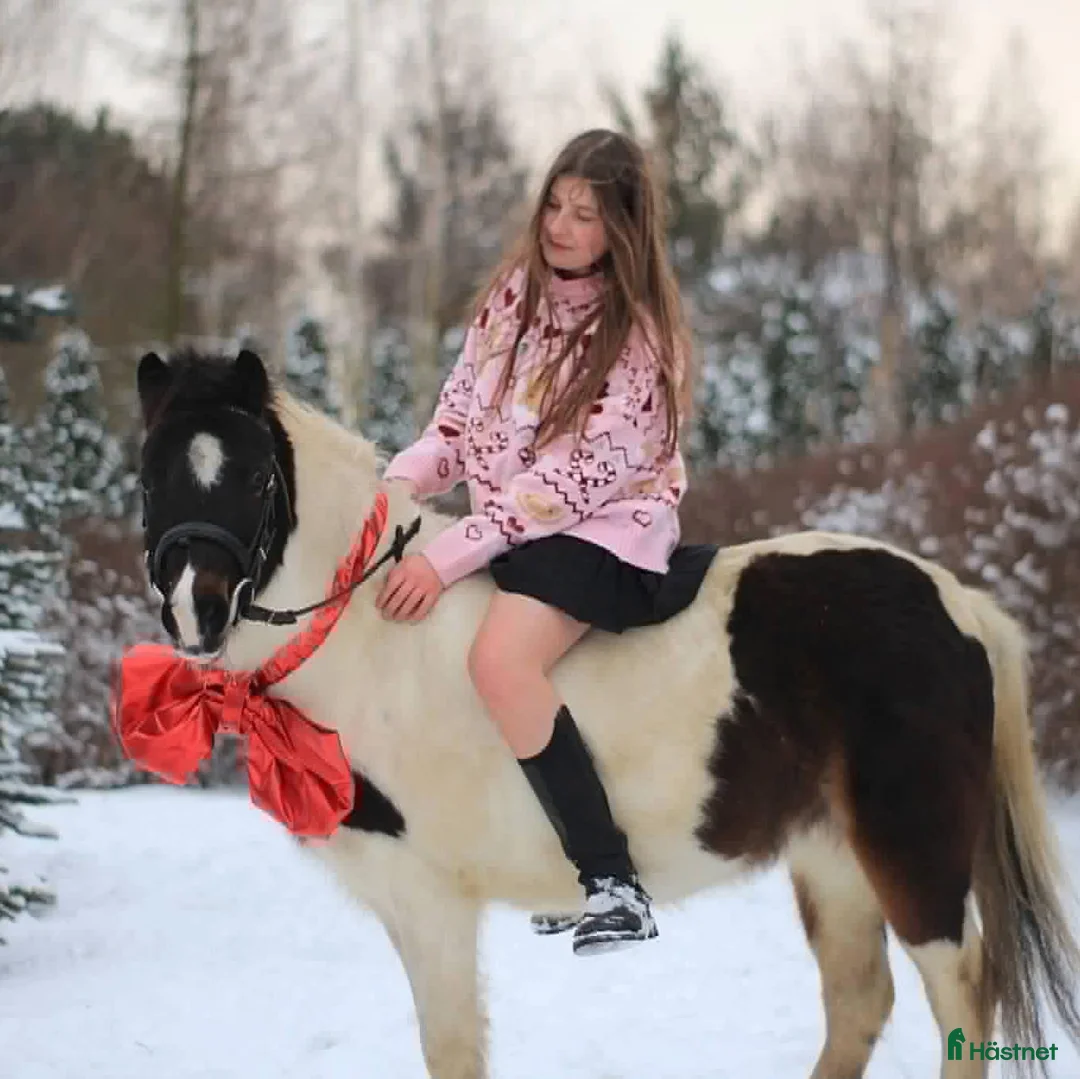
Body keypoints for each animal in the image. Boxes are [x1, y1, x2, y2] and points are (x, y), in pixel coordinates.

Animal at [130, 345, 1080, 1079]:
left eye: (256, 475)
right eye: (147, 476)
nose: (196, 609)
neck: (372, 636)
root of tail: (957, 602)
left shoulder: (432, 903)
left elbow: (453, 1051)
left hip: (913, 855)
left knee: (960, 998)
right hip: (834, 859)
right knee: (858, 1004)